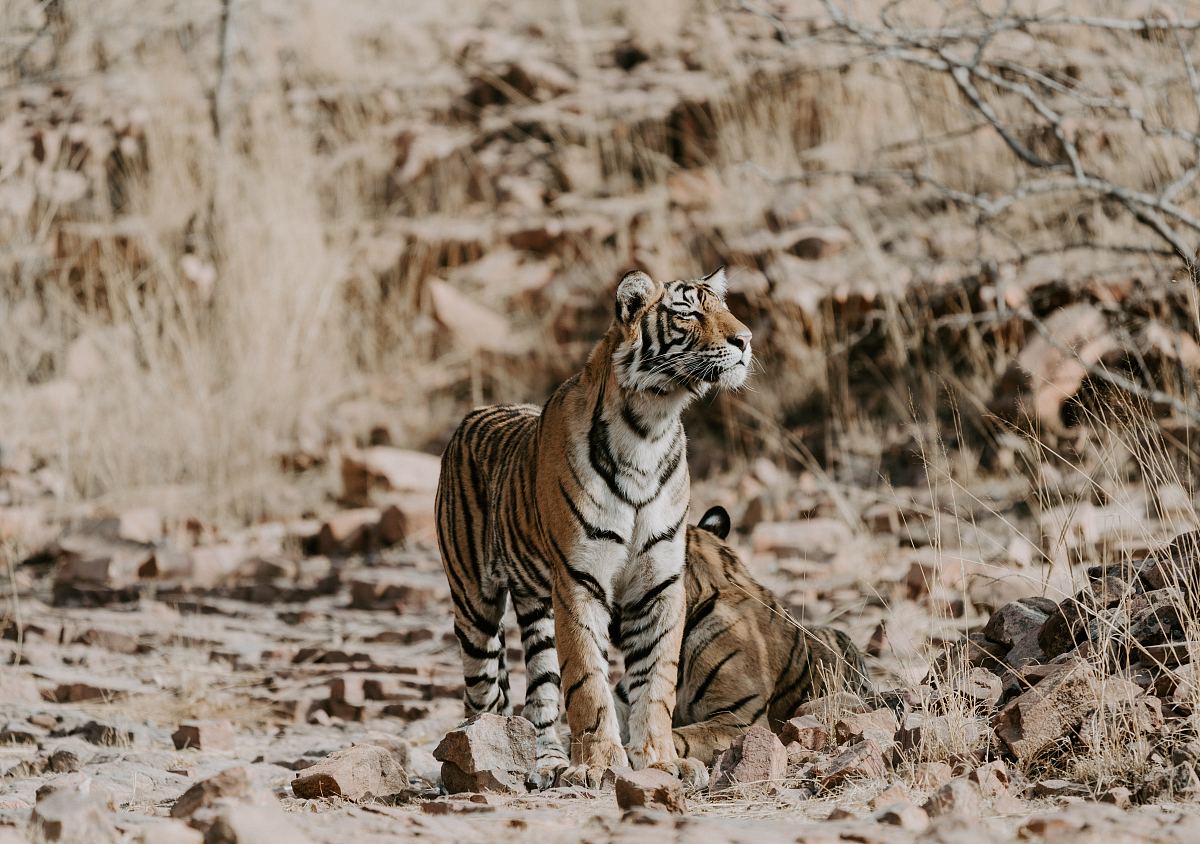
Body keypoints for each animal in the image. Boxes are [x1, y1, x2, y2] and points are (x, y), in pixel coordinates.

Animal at [432, 268, 748, 787]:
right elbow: (588, 681)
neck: (650, 428)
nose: (745, 339)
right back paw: (477, 765)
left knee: (539, 692)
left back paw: (548, 764)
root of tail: (473, 414)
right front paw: (600, 766)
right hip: (474, 606)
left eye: (725, 308)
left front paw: (659, 760)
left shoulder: (659, 581)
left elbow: (655, 681)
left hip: (537, 607)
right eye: (686, 312)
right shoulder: (580, 580)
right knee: (482, 694)